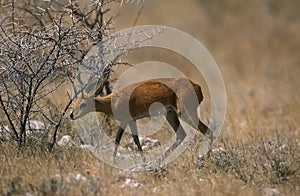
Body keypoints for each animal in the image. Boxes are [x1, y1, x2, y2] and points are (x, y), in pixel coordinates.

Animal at [69, 77, 211, 158]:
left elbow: (118, 140)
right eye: (74, 102)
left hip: (186, 114)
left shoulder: (125, 120)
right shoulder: (132, 120)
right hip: (170, 114)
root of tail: (197, 86)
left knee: (208, 131)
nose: (72, 115)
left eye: (83, 104)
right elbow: (136, 141)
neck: (113, 100)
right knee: (182, 135)